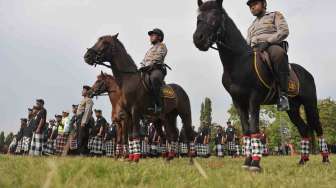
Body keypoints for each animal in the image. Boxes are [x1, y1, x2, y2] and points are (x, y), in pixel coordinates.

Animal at [84, 34, 194, 162]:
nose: (87, 56)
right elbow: (128, 138)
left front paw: (135, 158)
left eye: (105, 43)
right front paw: (129, 158)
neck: (128, 80)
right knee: (170, 135)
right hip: (166, 118)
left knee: (187, 134)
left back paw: (191, 159)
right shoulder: (128, 116)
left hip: (184, 114)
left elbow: (133, 135)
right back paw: (169, 157)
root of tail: (181, 89)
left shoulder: (133, 112)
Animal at [193, 0, 330, 171]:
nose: (198, 38)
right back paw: (303, 160)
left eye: (215, 16)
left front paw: (256, 163)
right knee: (303, 128)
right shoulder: (238, 102)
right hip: (292, 108)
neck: (238, 62)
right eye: (198, 17)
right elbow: (246, 130)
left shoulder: (254, 98)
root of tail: (306, 72)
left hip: (310, 104)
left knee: (318, 127)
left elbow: (254, 129)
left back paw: (325, 158)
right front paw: (247, 161)